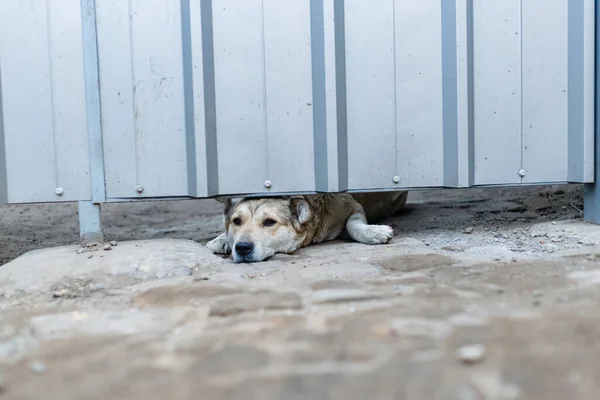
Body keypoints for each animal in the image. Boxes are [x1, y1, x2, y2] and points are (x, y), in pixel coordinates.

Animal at [206, 192, 408, 264]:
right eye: (237, 221)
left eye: (270, 222)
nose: (242, 248)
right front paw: (221, 239)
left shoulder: (352, 205)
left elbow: (352, 225)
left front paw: (374, 232)